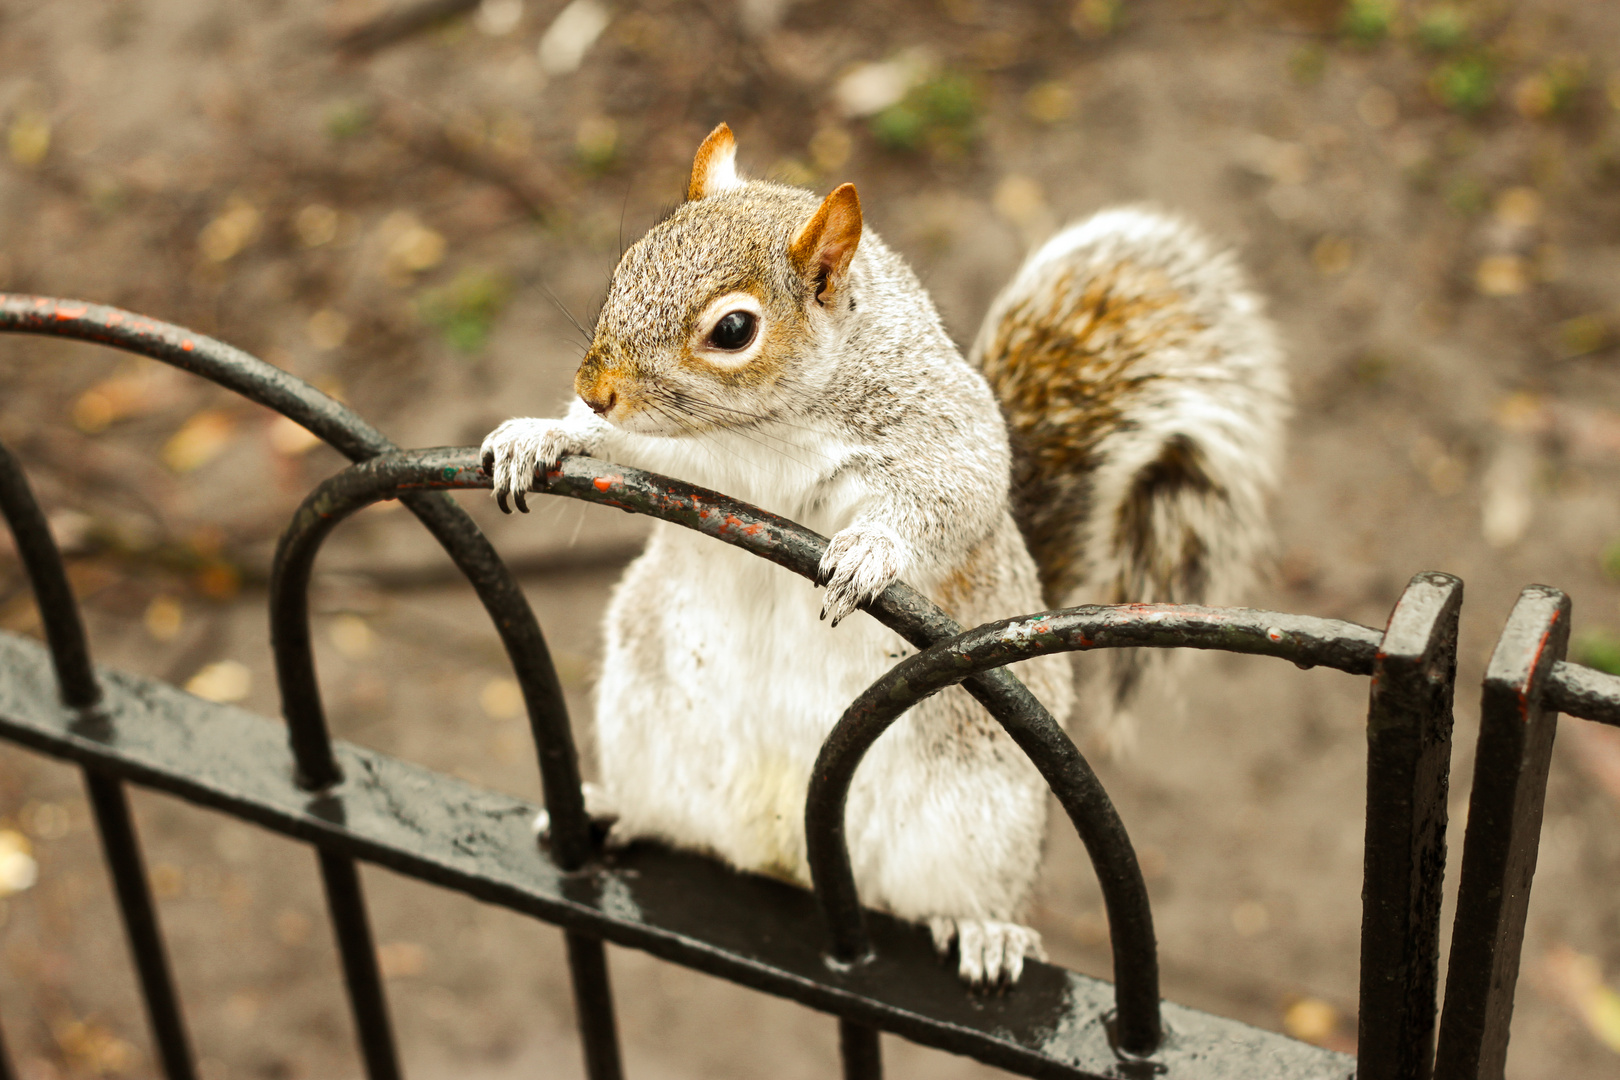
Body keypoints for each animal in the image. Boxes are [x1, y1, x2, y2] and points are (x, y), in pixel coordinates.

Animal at [479, 124, 1289, 990]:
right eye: (628, 262)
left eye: (733, 331)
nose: (594, 386)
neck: (756, 429)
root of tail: (786, 860)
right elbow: (606, 441)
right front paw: (542, 433)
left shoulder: (939, 426)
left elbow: (959, 489)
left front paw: (871, 551)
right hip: (645, 721)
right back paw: (611, 809)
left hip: (981, 819)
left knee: (959, 895)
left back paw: (984, 932)